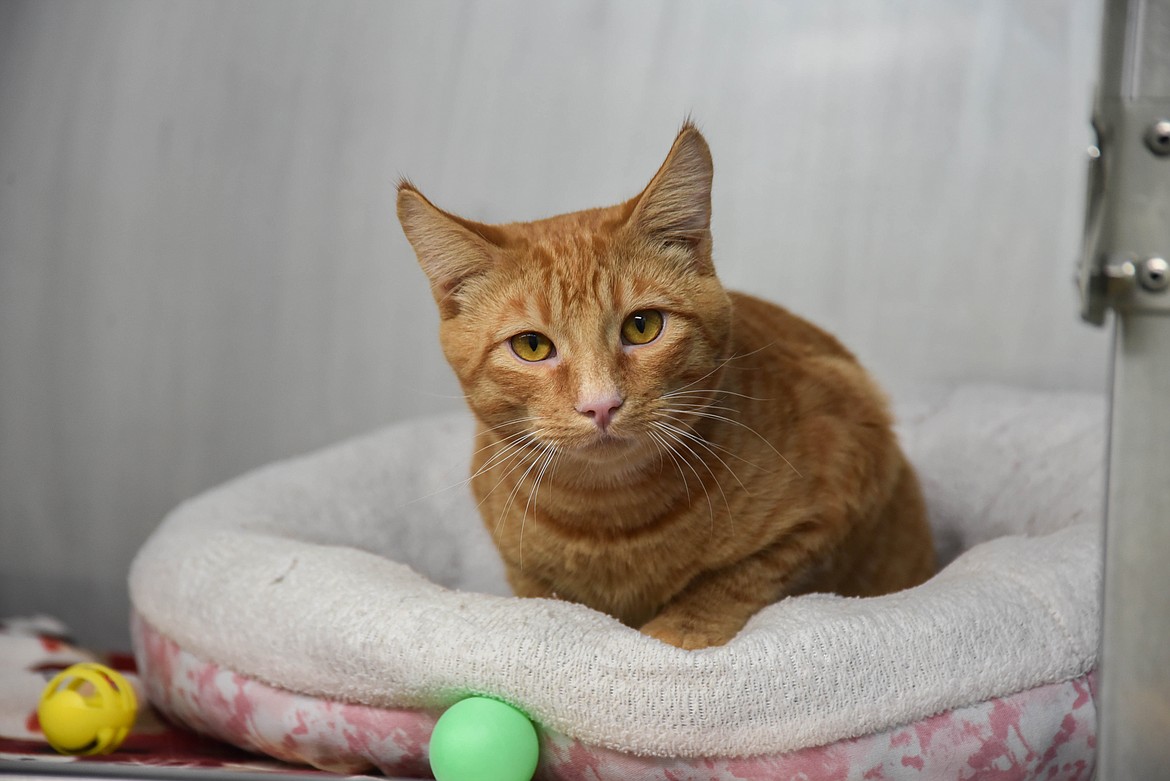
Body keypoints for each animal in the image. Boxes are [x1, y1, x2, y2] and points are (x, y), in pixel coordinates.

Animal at [397, 122, 935, 650]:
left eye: (642, 326)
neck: (607, 522)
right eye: (531, 346)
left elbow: (737, 577)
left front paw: (675, 635)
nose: (600, 405)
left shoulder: (847, 474)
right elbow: (553, 602)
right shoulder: (524, 572)